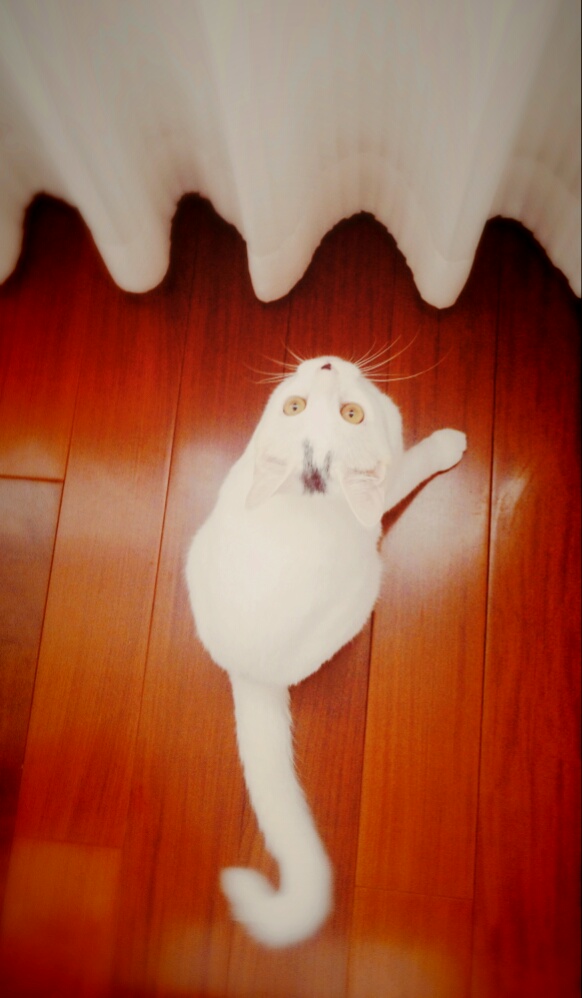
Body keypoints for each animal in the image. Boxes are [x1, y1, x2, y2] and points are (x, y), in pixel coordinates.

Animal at [186, 354, 467, 948]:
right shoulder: (389, 480)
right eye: (296, 406)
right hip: (365, 588)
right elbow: (414, 462)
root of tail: (249, 674)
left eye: (349, 413)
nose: (327, 364)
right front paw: (446, 444)